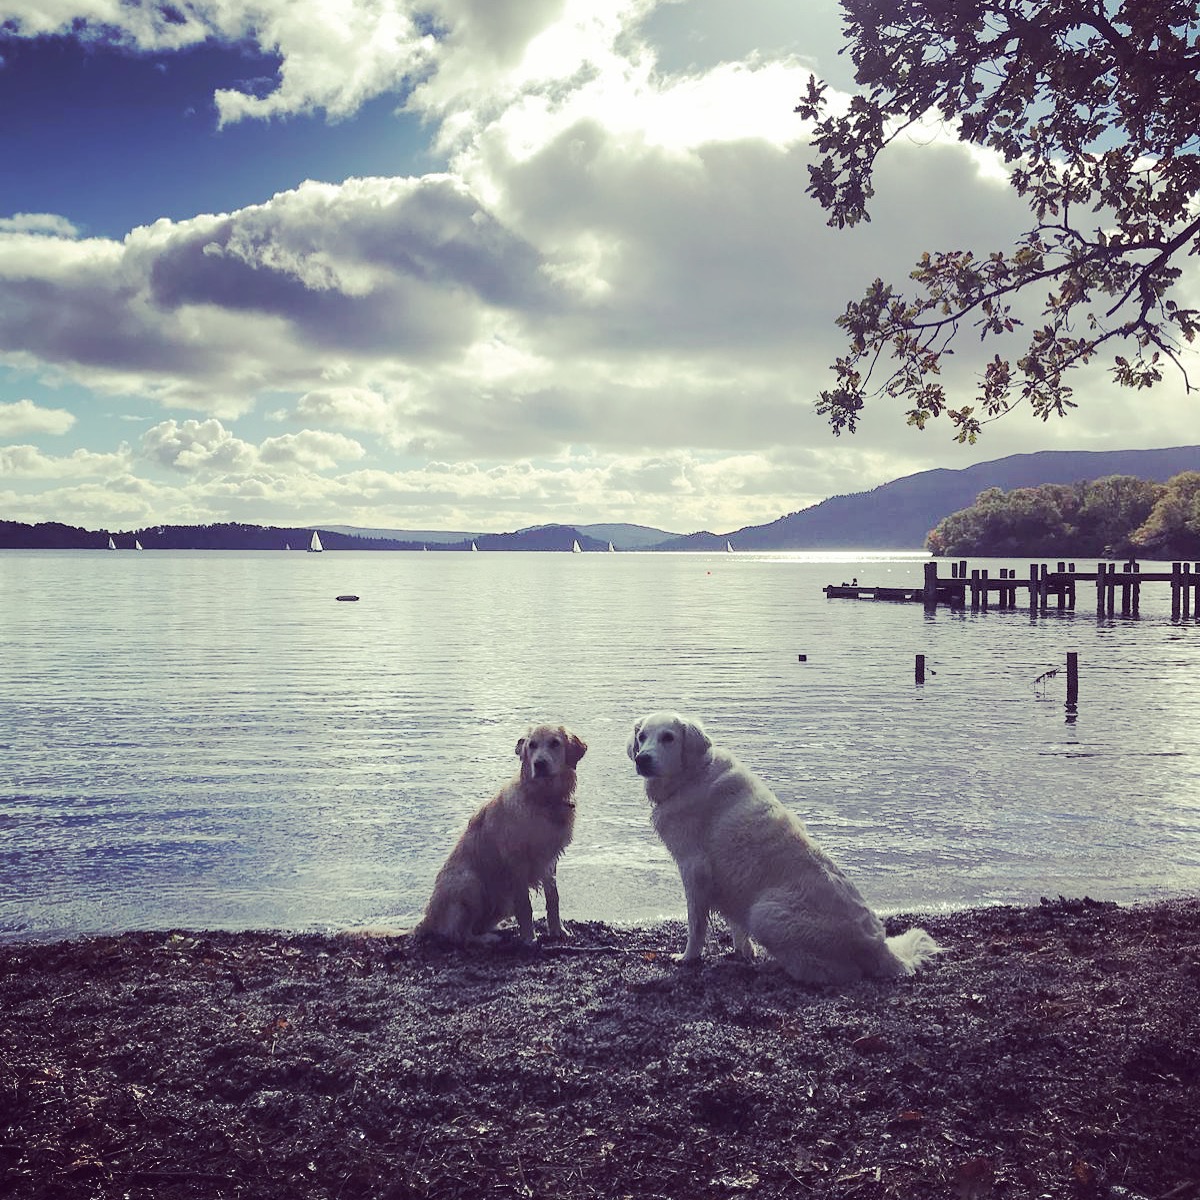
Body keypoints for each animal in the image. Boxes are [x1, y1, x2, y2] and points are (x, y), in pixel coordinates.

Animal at [415, 720, 588, 945]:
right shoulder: (516, 861)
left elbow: (553, 898)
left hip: (501, 902)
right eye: (532, 745)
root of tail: (427, 921)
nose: (539, 764)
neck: (543, 798)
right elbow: (525, 905)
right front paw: (529, 938)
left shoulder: (550, 859)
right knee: (460, 935)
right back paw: (488, 938)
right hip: (471, 883)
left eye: (555, 743)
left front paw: (558, 930)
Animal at [628, 710, 936, 984]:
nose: (642, 759)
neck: (692, 776)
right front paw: (743, 951)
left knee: (839, 973)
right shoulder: (729, 878)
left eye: (668, 737)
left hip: (765, 914)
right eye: (642, 737)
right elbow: (735, 923)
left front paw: (688, 958)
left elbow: (696, 925)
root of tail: (879, 945)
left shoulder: (694, 868)